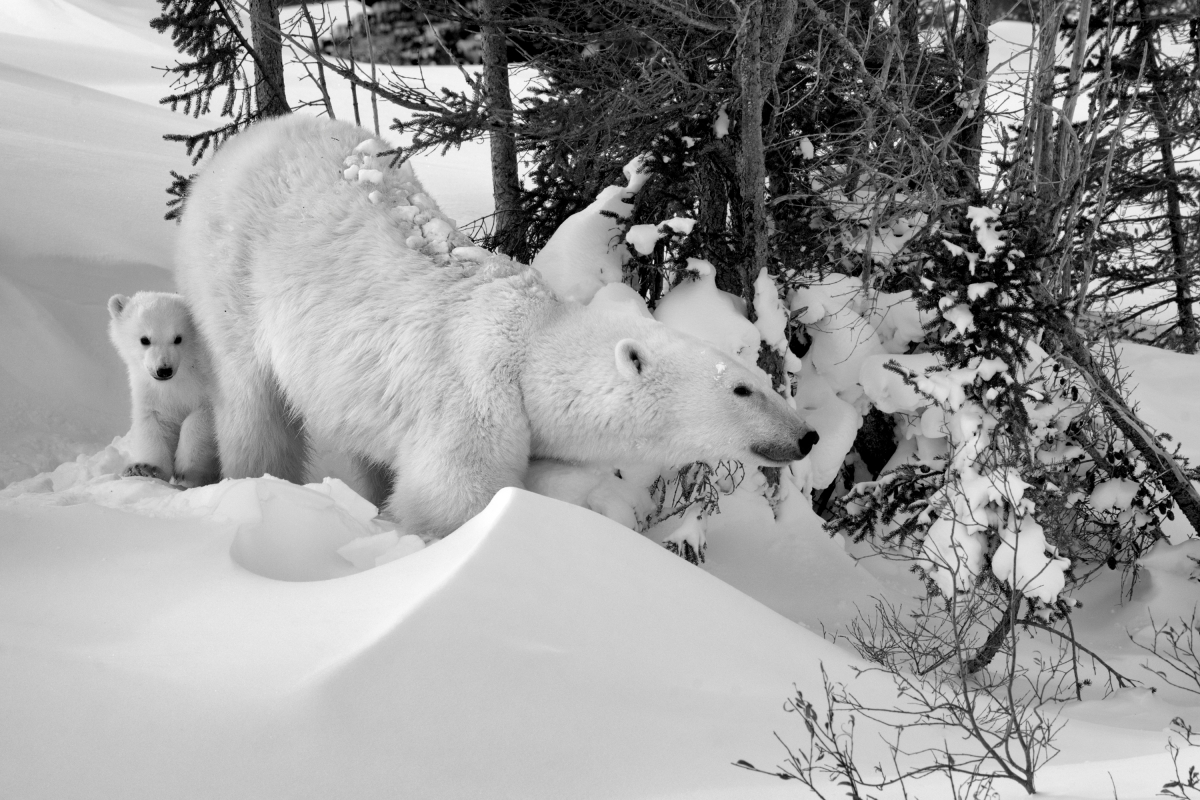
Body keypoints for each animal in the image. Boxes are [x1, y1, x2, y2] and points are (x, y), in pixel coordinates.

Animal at [107, 291, 220, 488]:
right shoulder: (153, 393)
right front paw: (144, 468)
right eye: (145, 339)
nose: (164, 370)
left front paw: (185, 469)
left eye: (178, 338)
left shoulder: (206, 386)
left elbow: (200, 419)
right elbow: (155, 423)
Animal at [175, 114, 818, 538]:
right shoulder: (473, 401)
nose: (806, 436)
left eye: (757, 378)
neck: (528, 348)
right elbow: (452, 502)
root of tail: (249, 138)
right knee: (251, 397)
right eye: (743, 387)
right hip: (233, 272)